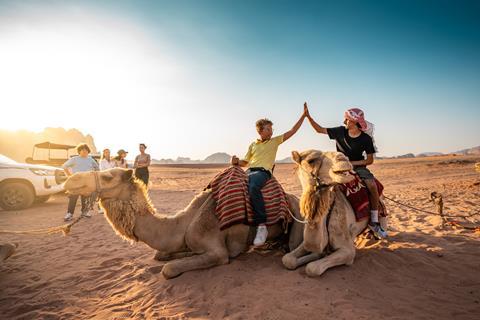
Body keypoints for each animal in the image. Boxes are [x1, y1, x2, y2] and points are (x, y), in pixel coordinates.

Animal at [63, 169, 304, 278]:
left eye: (108, 176)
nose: (70, 180)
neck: (182, 223)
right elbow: (161, 255)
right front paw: (178, 254)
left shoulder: (217, 251)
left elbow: (168, 269)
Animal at [282, 150, 386, 278]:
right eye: (311, 160)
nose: (343, 158)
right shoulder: (308, 244)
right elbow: (287, 259)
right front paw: (318, 254)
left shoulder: (348, 250)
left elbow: (312, 268)